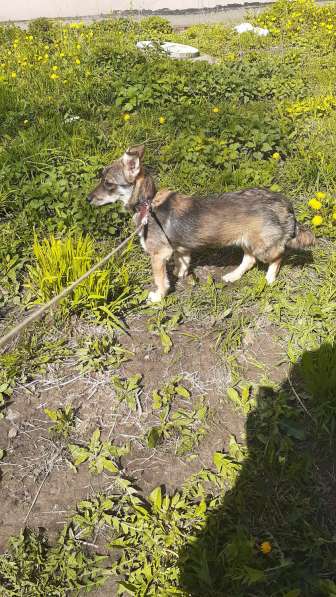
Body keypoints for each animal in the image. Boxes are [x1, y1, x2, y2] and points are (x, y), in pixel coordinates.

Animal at [88, 145, 316, 302]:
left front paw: (159, 296)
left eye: (108, 183)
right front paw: (180, 274)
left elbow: (160, 280)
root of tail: (284, 203)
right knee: (249, 260)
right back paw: (233, 275)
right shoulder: (179, 248)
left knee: (278, 255)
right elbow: (182, 261)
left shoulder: (158, 255)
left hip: (263, 247)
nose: (88, 199)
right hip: (246, 241)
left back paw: (269, 279)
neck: (148, 203)